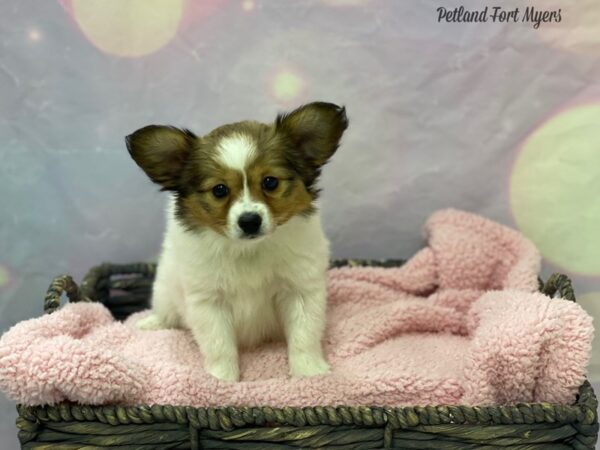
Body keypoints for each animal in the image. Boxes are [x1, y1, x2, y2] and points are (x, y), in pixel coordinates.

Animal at [127, 101, 346, 380]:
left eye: (270, 182)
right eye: (219, 190)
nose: (250, 221)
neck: (248, 250)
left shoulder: (300, 290)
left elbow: (303, 336)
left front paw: (309, 373)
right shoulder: (208, 302)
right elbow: (220, 346)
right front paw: (222, 379)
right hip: (164, 290)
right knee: (168, 314)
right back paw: (151, 322)